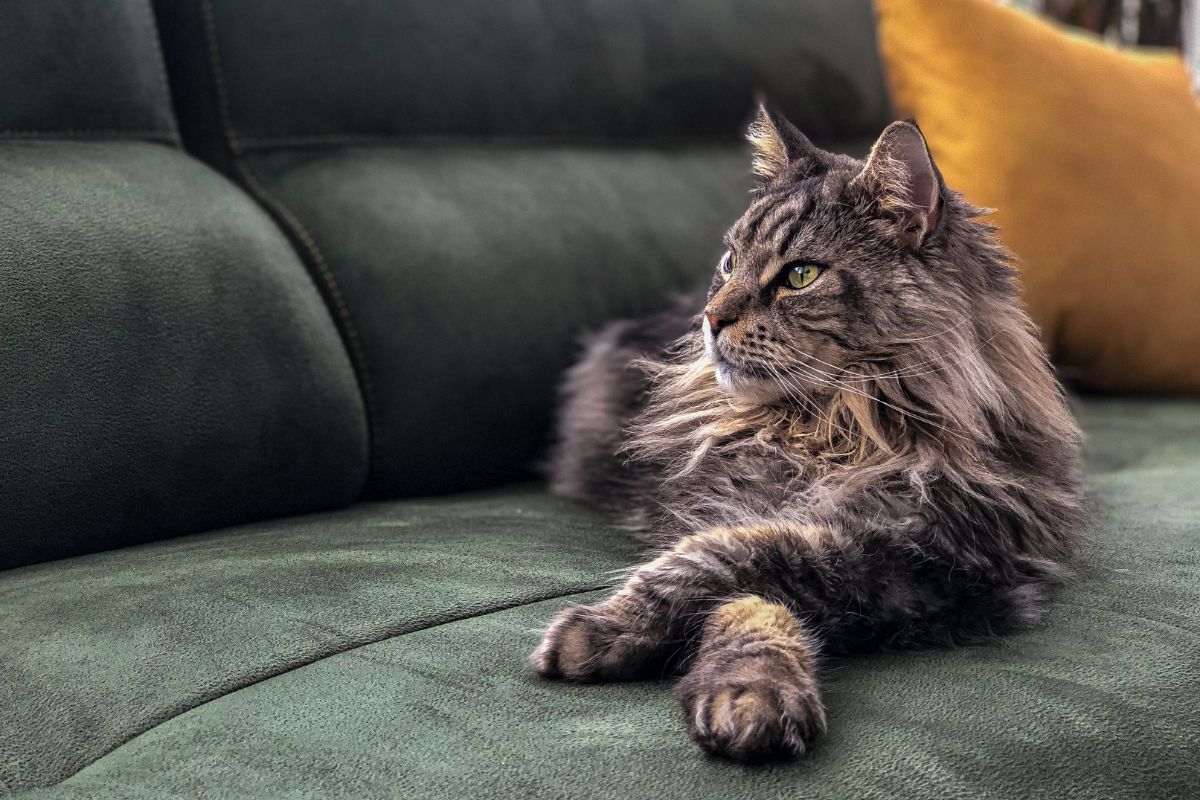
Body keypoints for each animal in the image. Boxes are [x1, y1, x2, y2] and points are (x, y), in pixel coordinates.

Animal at [530, 107, 1084, 762]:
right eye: (728, 264)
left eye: (800, 275)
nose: (711, 318)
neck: (837, 430)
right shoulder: (727, 506)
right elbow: (732, 586)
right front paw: (739, 689)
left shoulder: (935, 559)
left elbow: (741, 562)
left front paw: (738, 694)